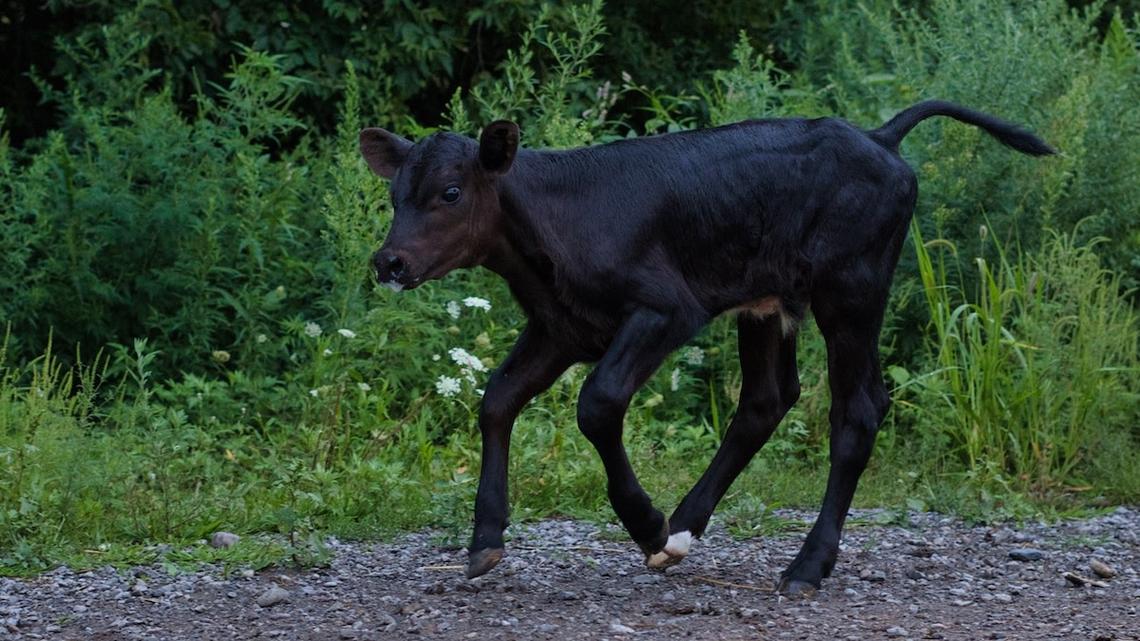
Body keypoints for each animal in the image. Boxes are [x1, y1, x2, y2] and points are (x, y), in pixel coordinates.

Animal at [359, 100, 1054, 595]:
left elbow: (597, 403)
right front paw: (484, 537)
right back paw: (687, 528)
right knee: (766, 400)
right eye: (394, 196)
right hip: (769, 302)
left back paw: (805, 566)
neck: (550, 235)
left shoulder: (667, 307)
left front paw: (645, 523)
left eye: (450, 192)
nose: (388, 262)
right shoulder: (561, 325)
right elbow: (496, 401)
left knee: (857, 409)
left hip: (852, 290)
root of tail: (878, 137)